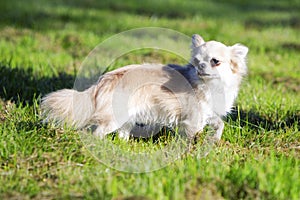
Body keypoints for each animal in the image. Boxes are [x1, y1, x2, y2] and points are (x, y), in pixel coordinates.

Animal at [42, 34, 248, 144]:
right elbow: (193, 136)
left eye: (215, 61)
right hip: (114, 118)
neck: (212, 85)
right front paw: (192, 150)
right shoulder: (193, 119)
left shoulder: (208, 113)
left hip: (126, 117)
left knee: (122, 133)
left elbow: (219, 124)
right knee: (98, 132)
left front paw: (215, 139)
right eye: (197, 61)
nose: (201, 67)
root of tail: (105, 79)